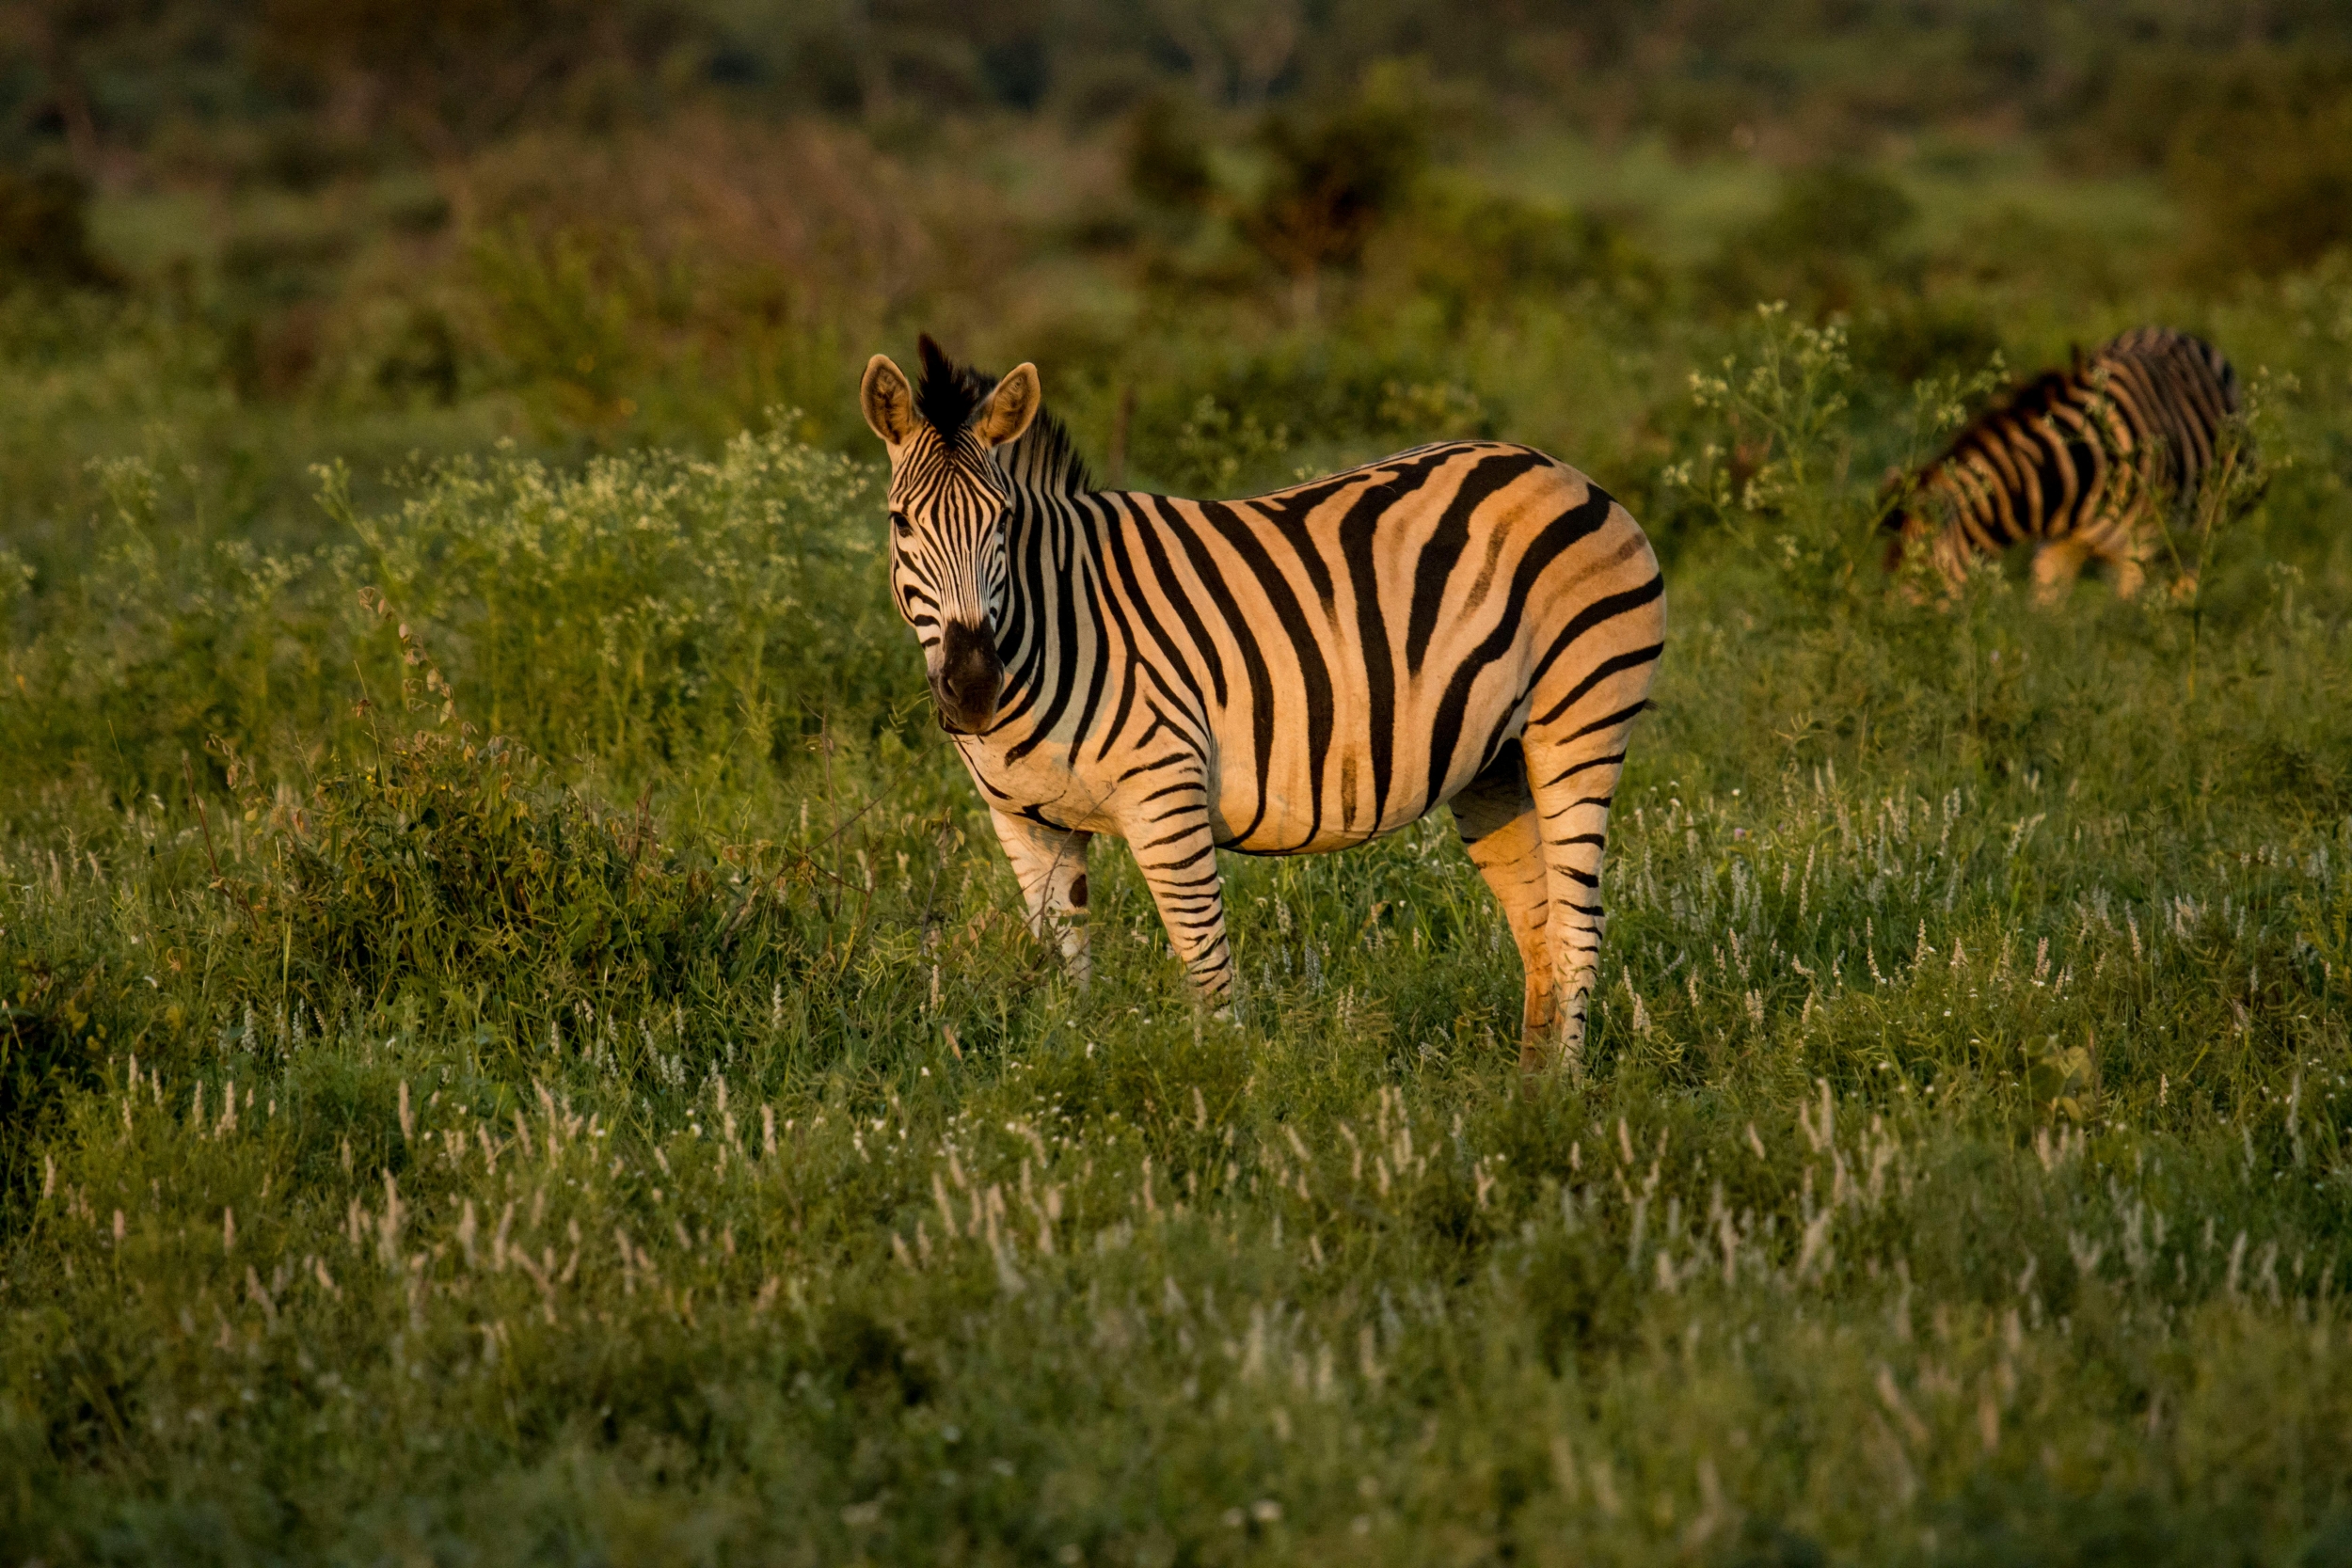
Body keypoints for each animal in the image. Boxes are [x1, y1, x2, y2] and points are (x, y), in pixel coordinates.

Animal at [860, 336, 1665, 1075]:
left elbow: (1208, 973)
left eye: (1001, 522)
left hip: (1580, 723)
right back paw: (1523, 1091)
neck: (1055, 615)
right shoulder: (1029, 825)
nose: (972, 687)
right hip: (1495, 762)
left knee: (1581, 925)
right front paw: (1079, 1081)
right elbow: (1069, 975)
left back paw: (1561, 1096)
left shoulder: (1166, 795)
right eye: (901, 523)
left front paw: (1226, 1096)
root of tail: (1565, 472)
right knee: (1540, 926)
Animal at [1881, 327, 2240, 600]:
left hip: (2197, 532)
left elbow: (2128, 623)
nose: (1895, 635)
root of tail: (2172, 331)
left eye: (1923, 573)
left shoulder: (2141, 551)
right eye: (1888, 571)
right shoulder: (2053, 549)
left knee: (2186, 588)